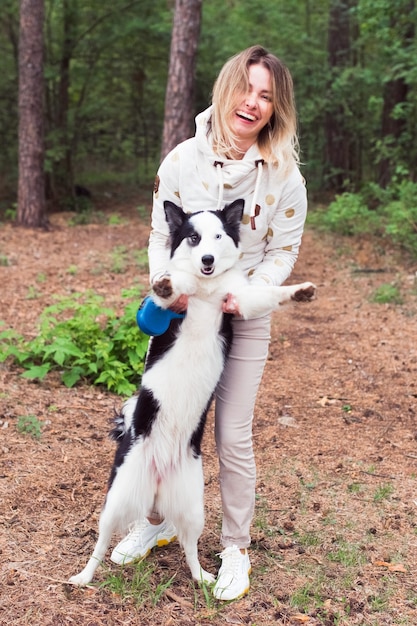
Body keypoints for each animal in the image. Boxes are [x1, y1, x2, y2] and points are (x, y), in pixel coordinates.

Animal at [69, 199, 316, 584]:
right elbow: (170, 287)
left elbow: (270, 294)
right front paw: (166, 284)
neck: (207, 285)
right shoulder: (177, 297)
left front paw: (299, 291)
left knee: (189, 548)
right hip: (115, 501)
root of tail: (158, 473)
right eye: (193, 238)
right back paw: (83, 577)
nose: (207, 259)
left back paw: (205, 578)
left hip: (192, 509)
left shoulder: (241, 299)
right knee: (100, 545)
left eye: (217, 236)